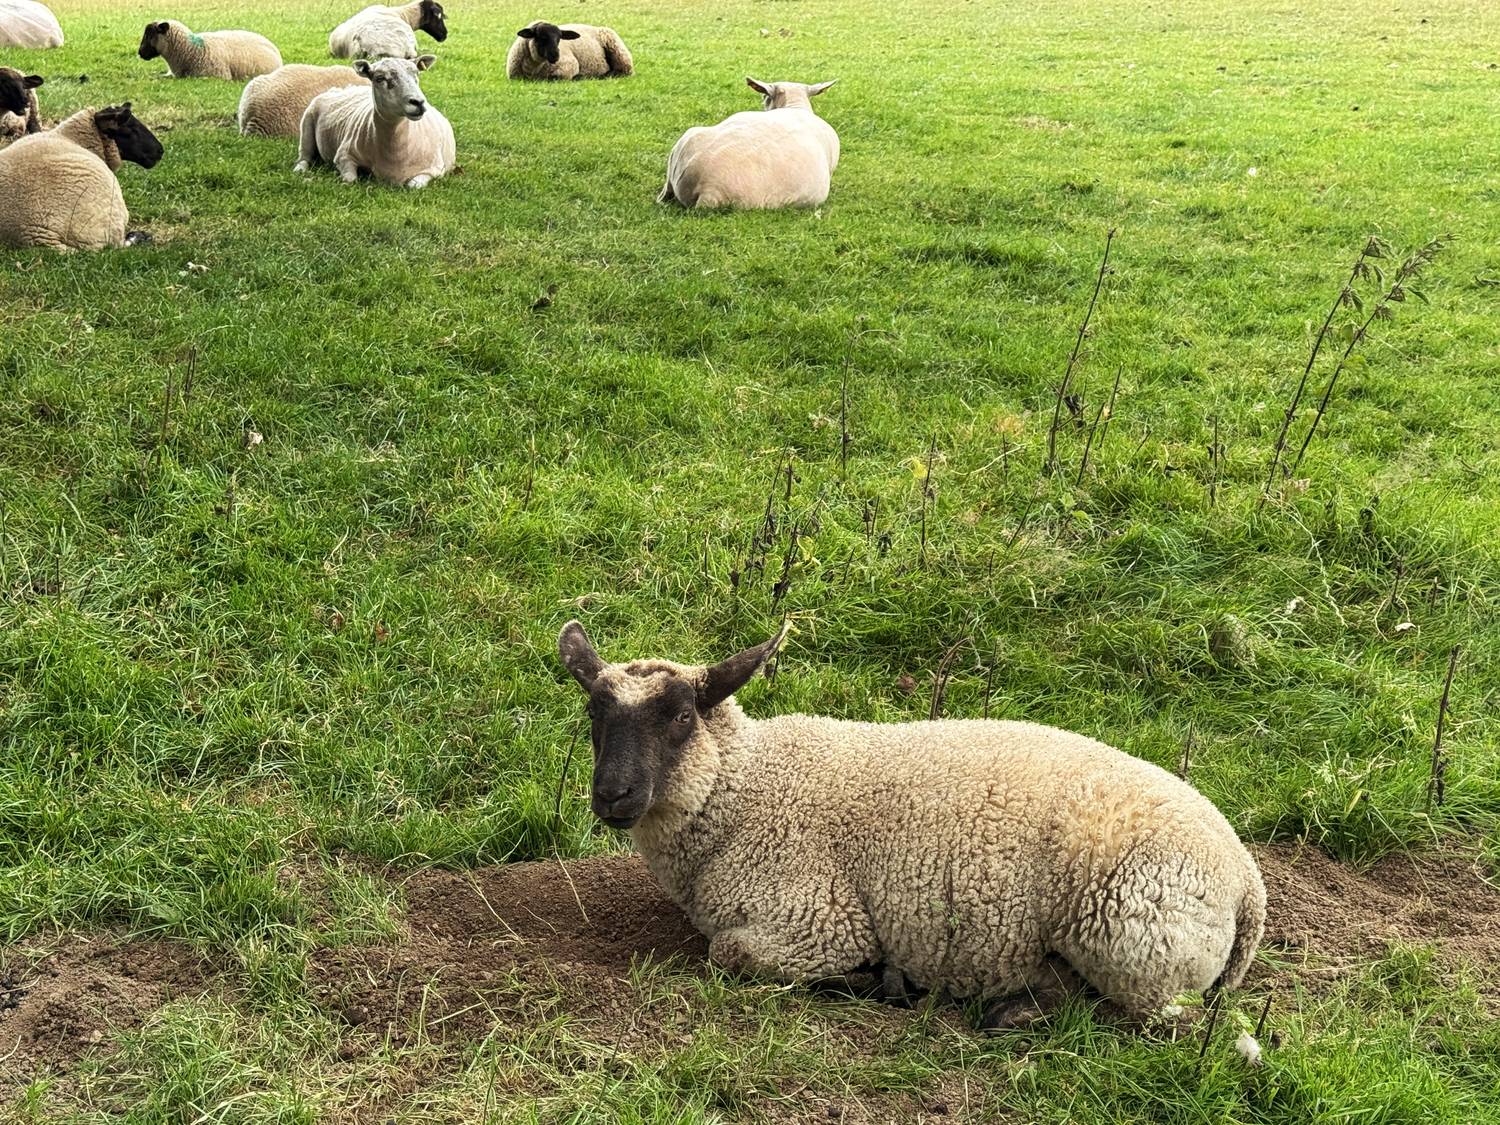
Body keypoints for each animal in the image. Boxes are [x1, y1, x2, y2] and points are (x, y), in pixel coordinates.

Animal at [294, 55, 453, 189]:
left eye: (417, 75)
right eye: (380, 78)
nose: (418, 102)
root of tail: (344, 87)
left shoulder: (434, 170)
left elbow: (413, 186)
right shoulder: (343, 155)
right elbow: (350, 179)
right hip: (307, 124)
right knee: (304, 157)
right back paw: (299, 170)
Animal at [556, 622, 1267, 1026]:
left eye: (681, 716)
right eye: (594, 713)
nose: (612, 795)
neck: (744, 787)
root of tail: (1247, 884)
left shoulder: (818, 919)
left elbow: (727, 953)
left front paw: (871, 979)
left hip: (1134, 941)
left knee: (1146, 1016)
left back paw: (1004, 1007)